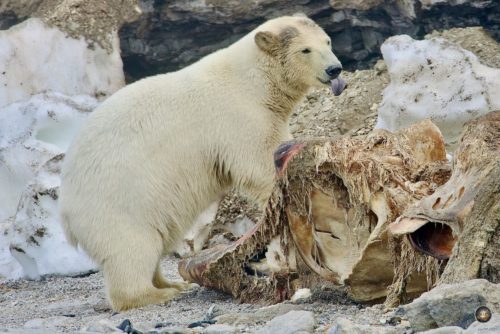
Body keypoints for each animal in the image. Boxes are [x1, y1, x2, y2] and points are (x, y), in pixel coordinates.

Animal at [59, 14, 344, 310]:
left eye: (327, 41)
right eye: (305, 50)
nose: (335, 69)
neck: (253, 81)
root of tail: (66, 209)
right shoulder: (240, 116)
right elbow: (257, 163)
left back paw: (172, 283)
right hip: (118, 204)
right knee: (131, 249)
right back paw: (159, 293)